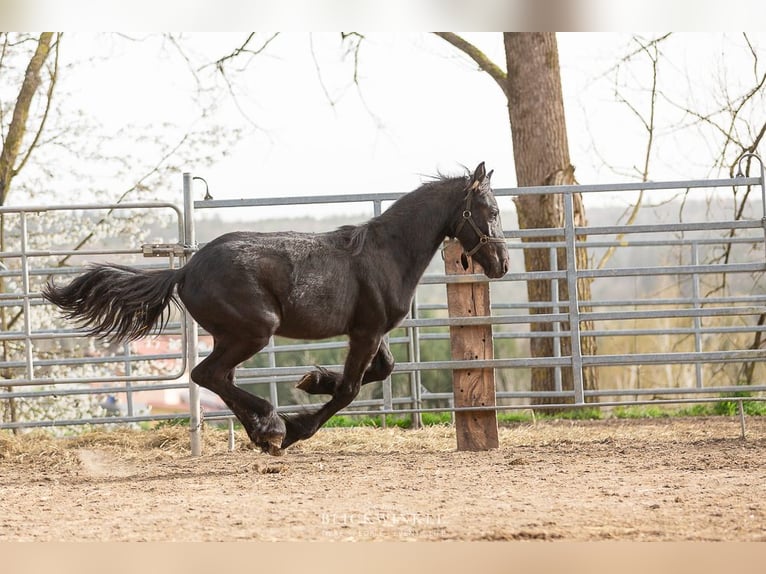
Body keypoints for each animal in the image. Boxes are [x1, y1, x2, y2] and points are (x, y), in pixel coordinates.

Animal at [42, 162, 510, 454]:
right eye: (490, 210)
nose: (502, 264)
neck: (386, 253)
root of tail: (186, 268)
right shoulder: (366, 331)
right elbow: (350, 389)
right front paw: (298, 426)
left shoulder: (370, 330)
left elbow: (382, 370)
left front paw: (312, 379)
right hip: (254, 330)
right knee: (207, 375)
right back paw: (272, 428)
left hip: (233, 336)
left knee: (219, 378)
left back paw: (261, 433)